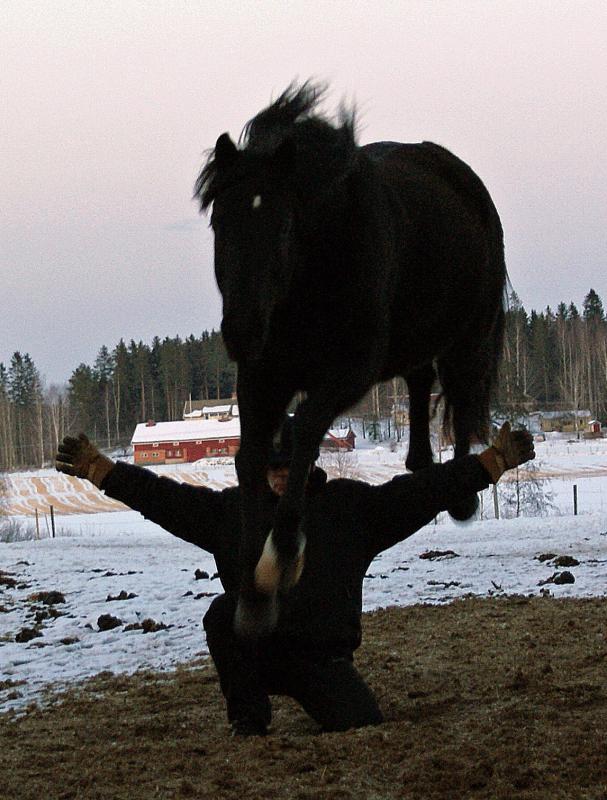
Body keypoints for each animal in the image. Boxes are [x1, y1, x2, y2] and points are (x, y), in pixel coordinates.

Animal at [196, 84, 508, 636]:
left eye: (283, 225)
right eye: (219, 220)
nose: (242, 331)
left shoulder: (350, 371)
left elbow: (304, 434)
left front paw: (280, 557)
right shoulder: (261, 377)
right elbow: (248, 457)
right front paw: (253, 594)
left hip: (468, 336)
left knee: (462, 398)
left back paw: (459, 492)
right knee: (421, 379)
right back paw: (418, 463)